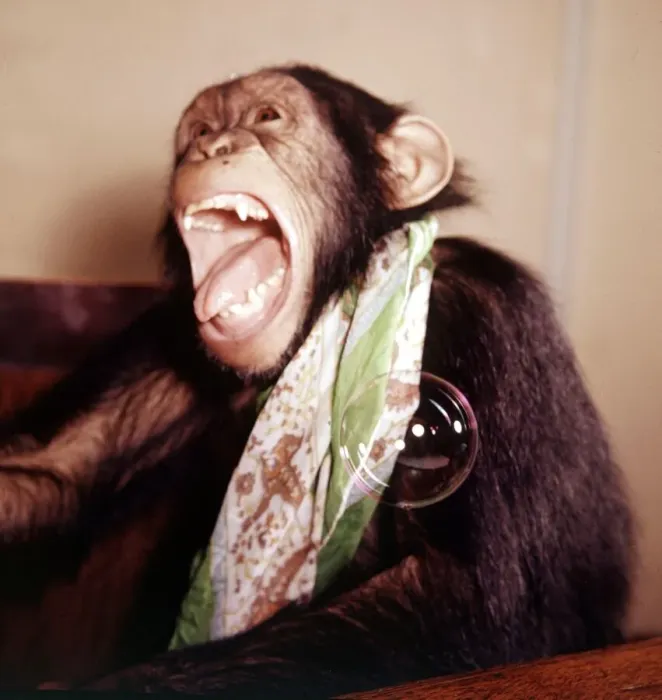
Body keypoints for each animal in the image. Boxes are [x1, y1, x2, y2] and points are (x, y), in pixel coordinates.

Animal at [0, 65, 634, 697]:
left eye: (266, 117)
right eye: (198, 130)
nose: (211, 146)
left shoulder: (489, 314)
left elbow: (465, 593)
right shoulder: (174, 333)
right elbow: (52, 469)